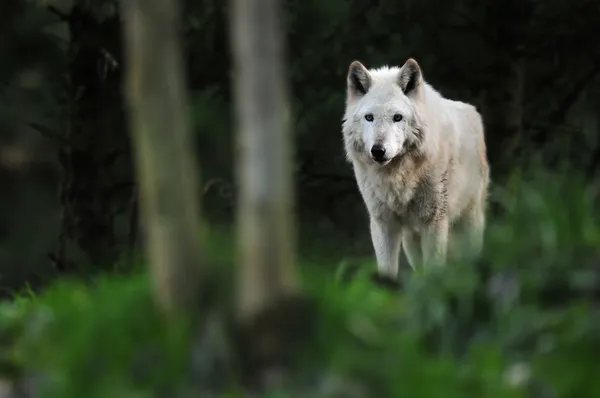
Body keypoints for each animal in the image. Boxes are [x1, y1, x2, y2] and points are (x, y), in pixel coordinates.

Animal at [342, 58, 488, 280]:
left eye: (397, 117)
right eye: (369, 117)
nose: (378, 151)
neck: (399, 177)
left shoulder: (435, 223)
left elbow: (435, 271)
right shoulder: (383, 224)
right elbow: (386, 271)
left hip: (469, 221)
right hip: (411, 239)